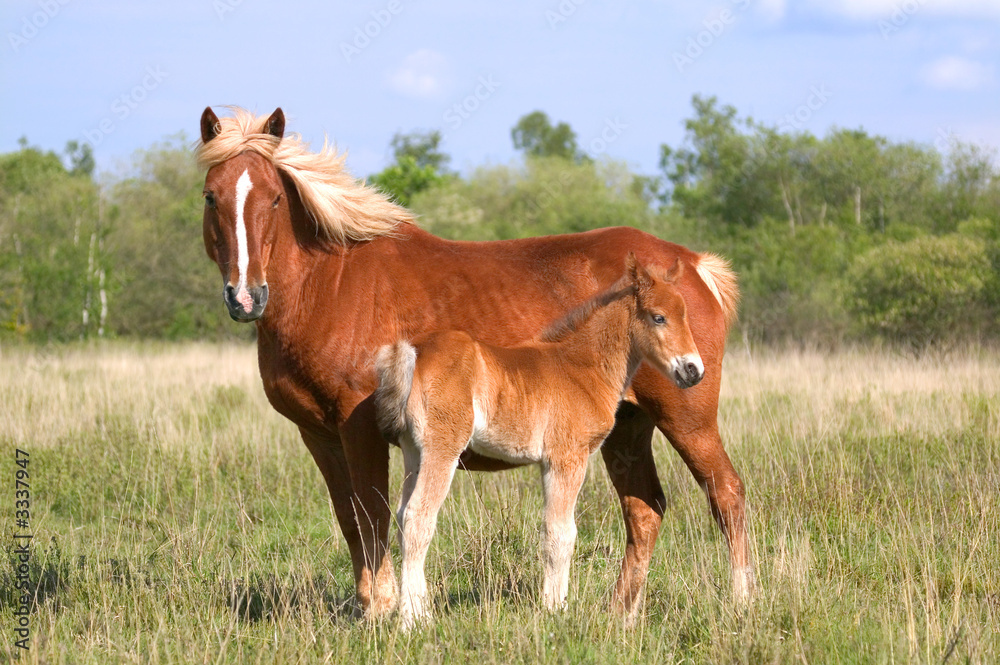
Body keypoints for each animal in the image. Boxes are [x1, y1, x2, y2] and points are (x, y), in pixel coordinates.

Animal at [375, 254, 704, 627]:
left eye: (685, 315)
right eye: (658, 317)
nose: (693, 370)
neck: (580, 367)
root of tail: (413, 352)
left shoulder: (549, 463)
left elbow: (551, 531)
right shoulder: (567, 458)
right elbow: (562, 533)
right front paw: (556, 609)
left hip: (414, 452)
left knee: (403, 515)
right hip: (441, 449)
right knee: (419, 517)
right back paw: (414, 620)